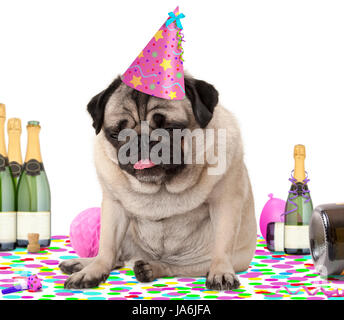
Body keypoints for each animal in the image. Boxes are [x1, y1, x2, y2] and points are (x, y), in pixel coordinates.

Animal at [59, 75, 256, 290]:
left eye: (170, 129)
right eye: (116, 133)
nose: (142, 140)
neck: (161, 185)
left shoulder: (225, 203)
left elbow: (222, 245)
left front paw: (220, 272)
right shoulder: (114, 206)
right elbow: (107, 246)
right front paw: (93, 271)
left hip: (216, 260)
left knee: (175, 266)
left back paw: (151, 268)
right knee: (116, 257)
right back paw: (81, 263)